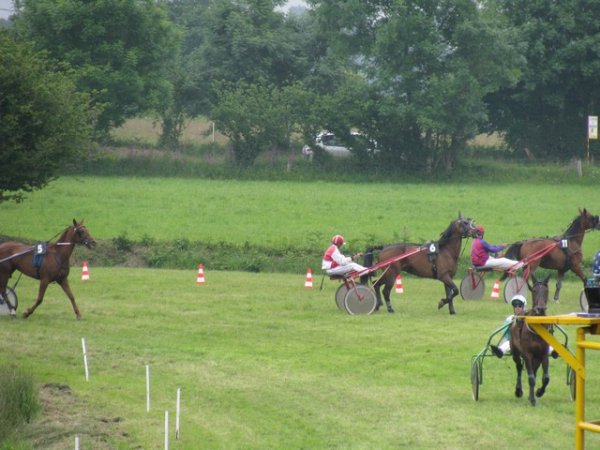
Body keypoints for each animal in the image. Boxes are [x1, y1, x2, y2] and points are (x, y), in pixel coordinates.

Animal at [510, 272, 552, 406]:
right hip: (515, 352)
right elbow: (531, 378)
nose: (541, 308)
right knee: (519, 367)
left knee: (534, 369)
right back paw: (519, 390)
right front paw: (533, 400)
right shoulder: (527, 354)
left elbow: (545, 378)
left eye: (546, 290)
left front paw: (539, 392)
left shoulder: (543, 353)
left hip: (537, 357)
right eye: (534, 290)